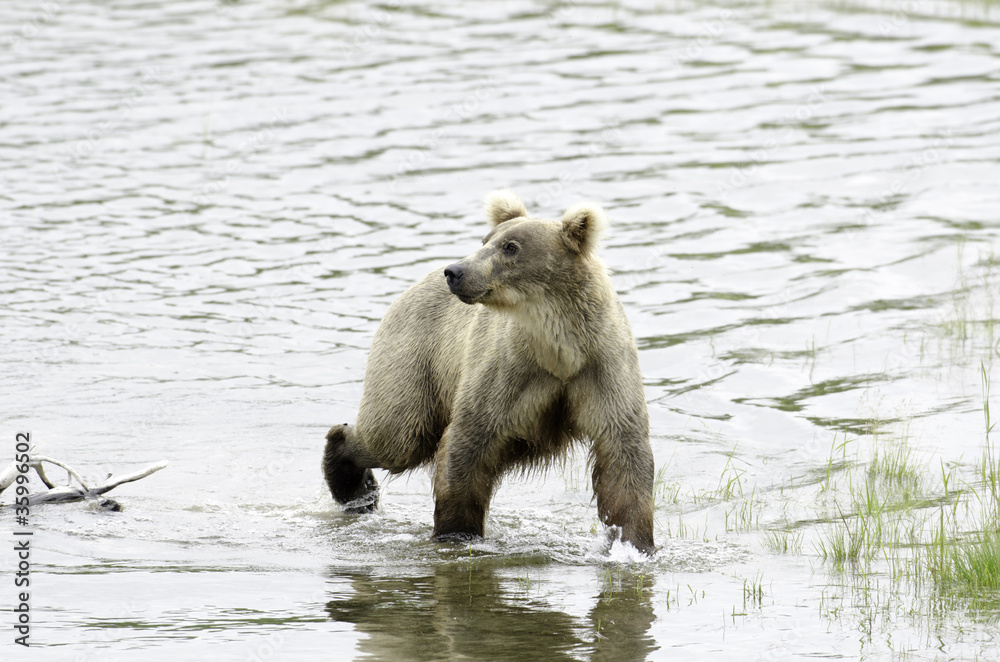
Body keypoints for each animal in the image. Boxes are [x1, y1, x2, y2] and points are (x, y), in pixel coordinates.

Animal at [323, 190, 655, 554]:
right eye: (485, 239)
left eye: (510, 246)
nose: (455, 271)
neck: (559, 351)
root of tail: (412, 287)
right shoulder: (507, 371)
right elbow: (467, 443)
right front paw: (457, 531)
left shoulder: (602, 368)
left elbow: (623, 455)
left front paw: (635, 542)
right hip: (414, 360)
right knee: (398, 434)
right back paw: (351, 481)